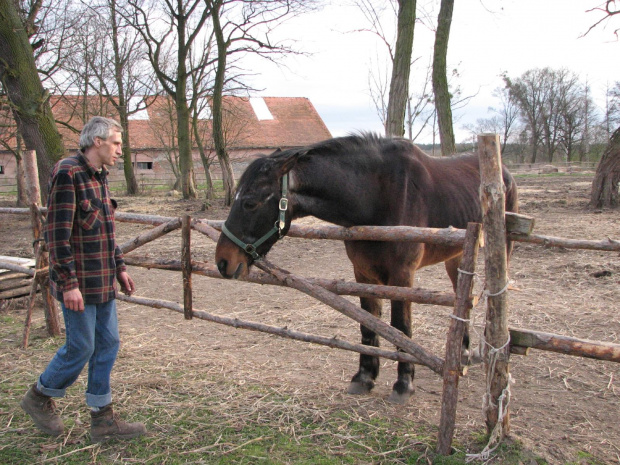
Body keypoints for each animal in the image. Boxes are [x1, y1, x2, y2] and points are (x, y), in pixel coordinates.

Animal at [214, 132, 520, 404]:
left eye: (250, 202)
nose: (223, 261)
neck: (375, 197)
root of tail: (504, 173)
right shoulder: (362, 273)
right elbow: (368, 324)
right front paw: (364, 377)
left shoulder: (402, 276)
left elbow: (401, 327)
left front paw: (403, 383)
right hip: (456, 257)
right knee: (461, 297)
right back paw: (464, 351)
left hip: (502, 251)